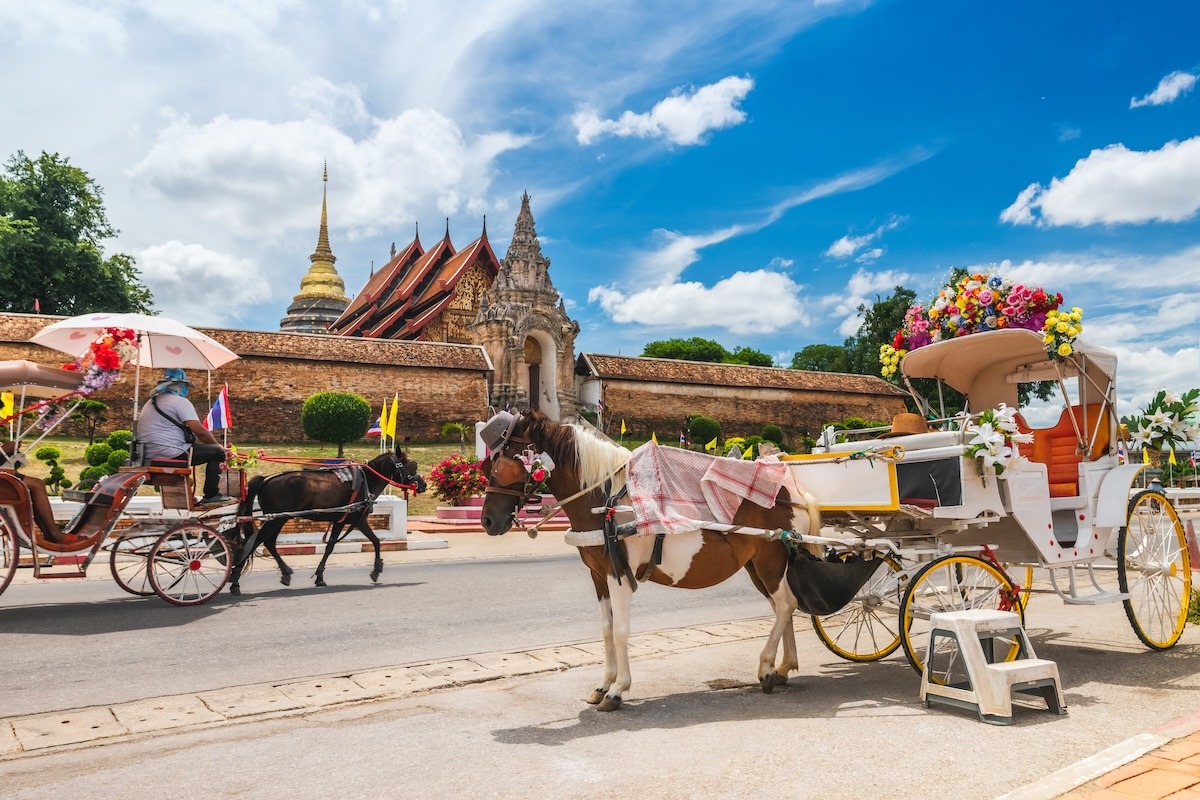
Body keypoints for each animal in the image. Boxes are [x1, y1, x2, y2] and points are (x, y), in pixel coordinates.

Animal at [231, 450, 424, 594]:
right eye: (410, 466)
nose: (422, 484)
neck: (366, 480)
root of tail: (266, 480)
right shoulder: (358, 518)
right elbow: (376, 541)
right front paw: (376, 569)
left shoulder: (340, 520)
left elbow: (330, 546)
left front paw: (319, 577)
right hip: (277, 518)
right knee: (259, 540)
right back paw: (235, 580)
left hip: (280, 518)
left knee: (268, 542)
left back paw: (283, 573)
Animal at [482, 412, 820, 714]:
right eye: (489, 463)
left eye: (506, 462)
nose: (487, 520)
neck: (606, 501)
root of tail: (797, 495)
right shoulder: (598, 575)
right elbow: (606, 629)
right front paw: (604, 684)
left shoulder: (618, 574)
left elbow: (620, 631)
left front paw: (618, 690)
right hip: (757, 567)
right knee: (782, 607)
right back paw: (783, 666)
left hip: (769, 560)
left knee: (786, 604)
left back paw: (766, 667)